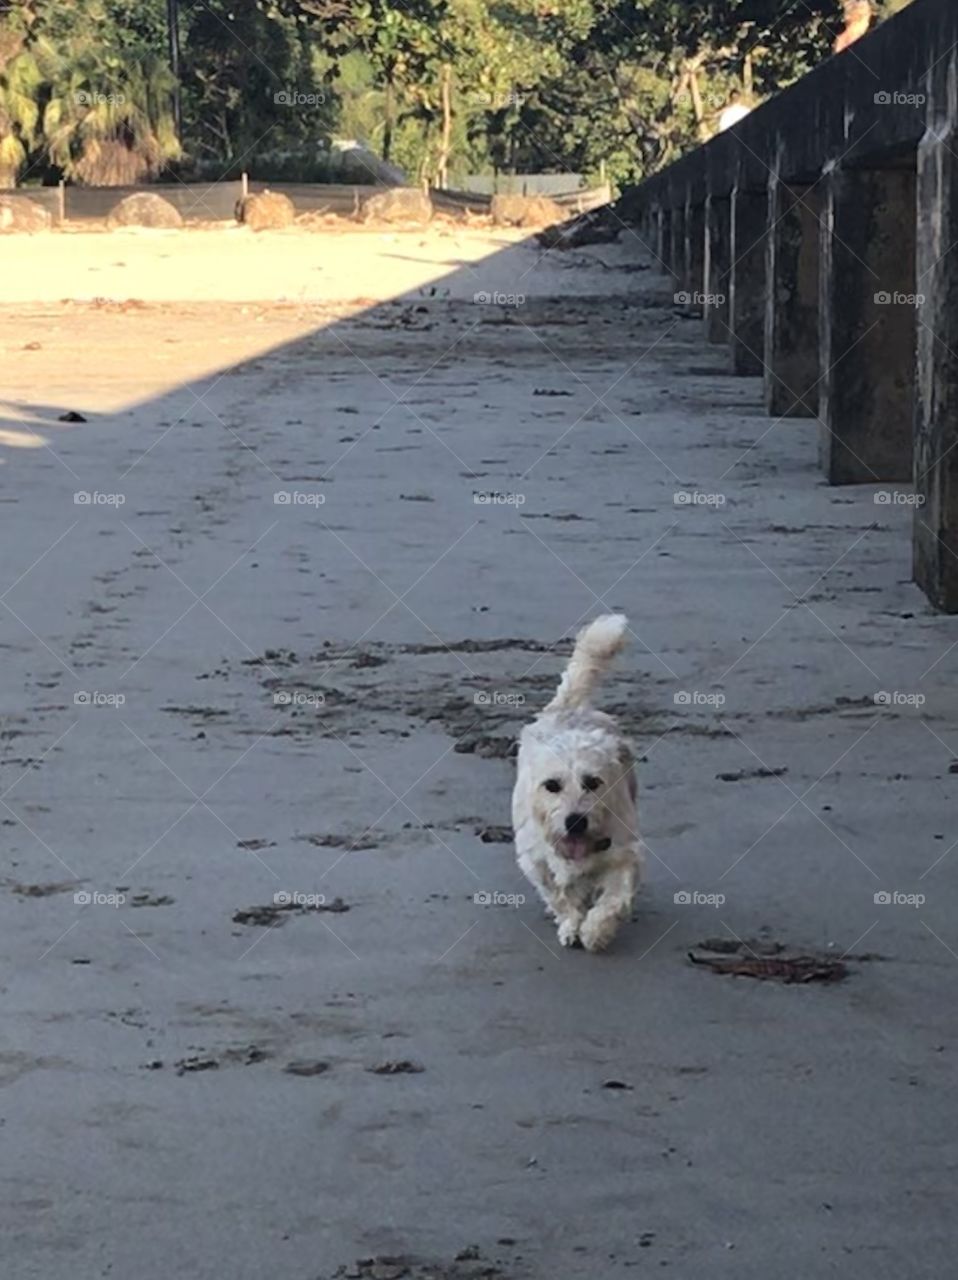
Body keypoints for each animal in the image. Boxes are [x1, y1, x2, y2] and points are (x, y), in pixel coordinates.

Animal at [512, 609, 640, 952]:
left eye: (593, 782)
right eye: (552, 785)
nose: (575, 821)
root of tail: (569, 708)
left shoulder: (623, 853)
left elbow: (613, 899)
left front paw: (595, 931)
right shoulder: (536, 860)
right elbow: (559, 897)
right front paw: (571, 925)